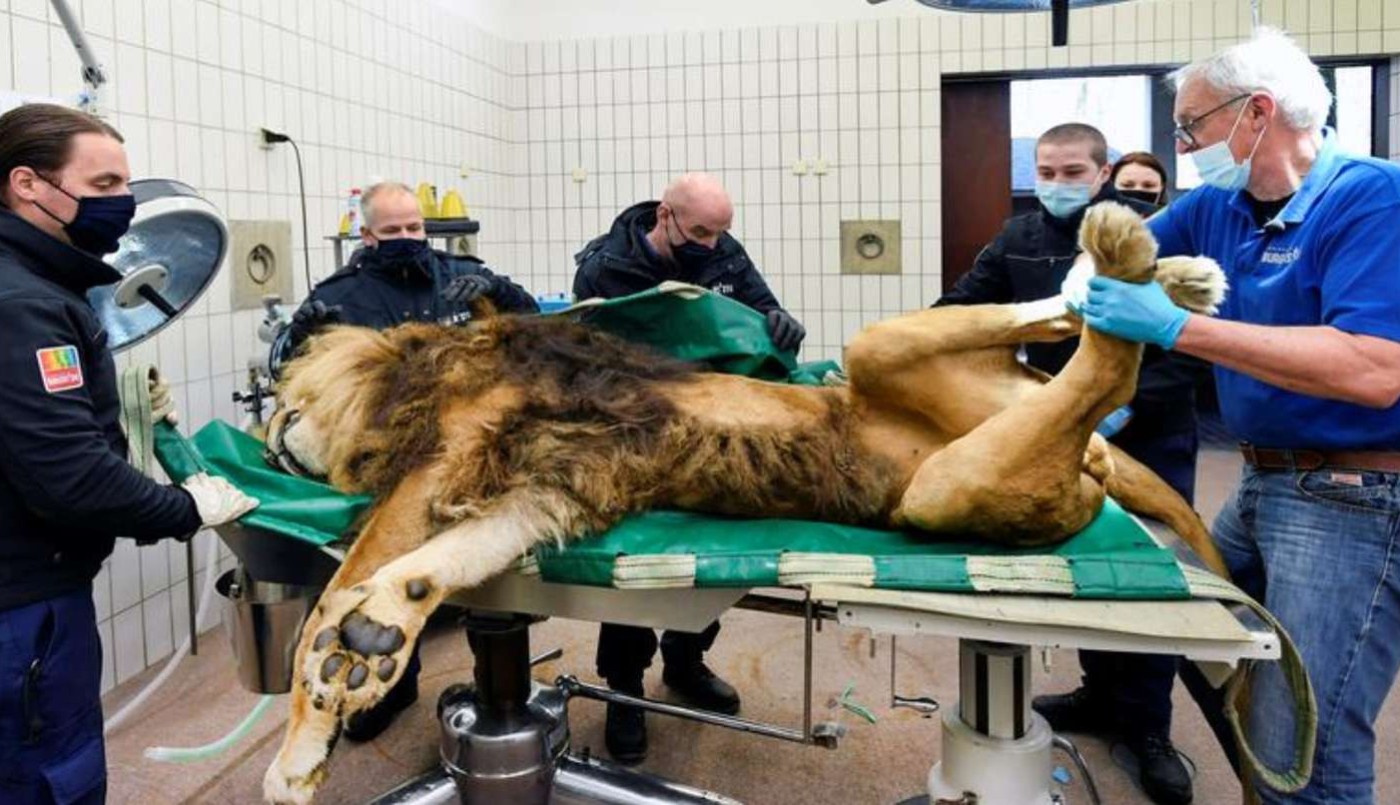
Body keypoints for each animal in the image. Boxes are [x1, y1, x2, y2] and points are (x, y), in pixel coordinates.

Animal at [260, 202, 1228, 804]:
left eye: (275, 403)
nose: (268, 441)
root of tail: (1092, 463)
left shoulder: (461, 441)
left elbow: (347, 579)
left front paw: (306, 729)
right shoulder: (543, 491)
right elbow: (422, 571)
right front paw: (365, 647)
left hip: (906, 389)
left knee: (1095, 352)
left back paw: (1141, 264)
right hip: (949, 466)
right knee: (1087, 375)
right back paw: (1155, 279)